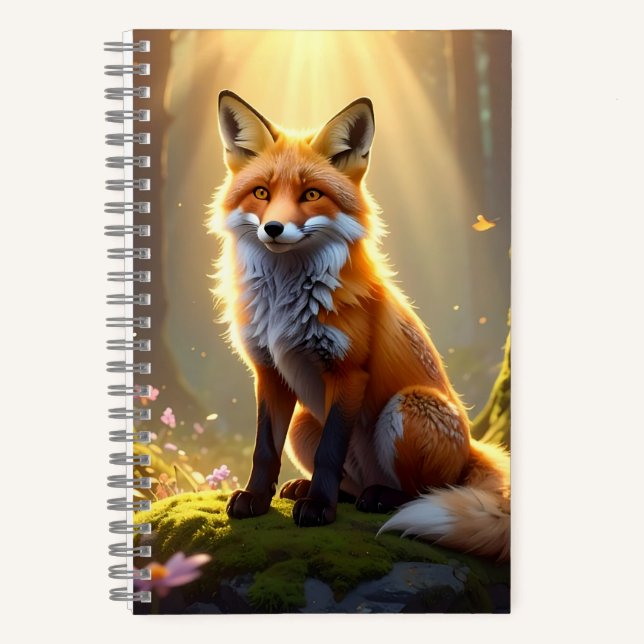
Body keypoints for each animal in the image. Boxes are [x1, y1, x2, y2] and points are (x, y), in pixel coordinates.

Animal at [210, 90, 510, 561]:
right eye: (261, 193)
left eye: (311, 194)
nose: (273, 228)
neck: (284, 303)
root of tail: (473, 449)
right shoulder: (269, 371)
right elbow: (264, 449)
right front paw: (256, 499)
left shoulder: (348, 370)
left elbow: (331, 452)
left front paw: (319, 508)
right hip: (304, 423)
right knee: (352, 480)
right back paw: (318, 489)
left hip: (409, 406)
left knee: (425, 491)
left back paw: (377, 498)